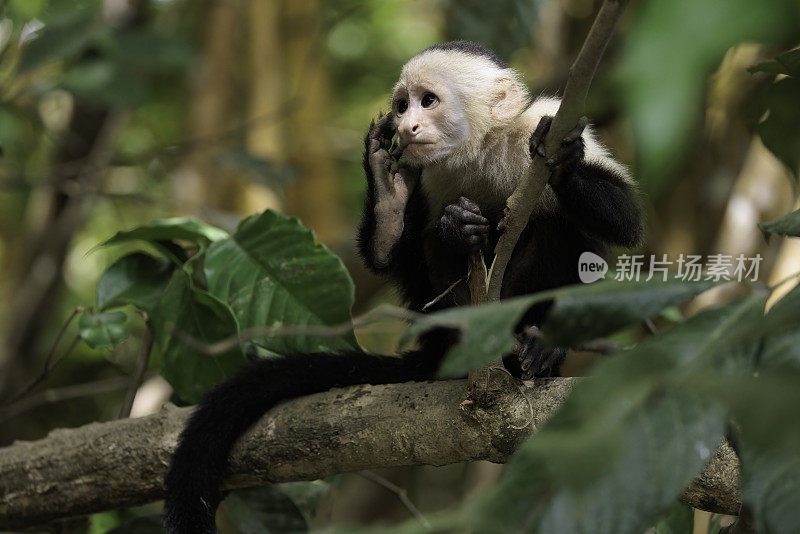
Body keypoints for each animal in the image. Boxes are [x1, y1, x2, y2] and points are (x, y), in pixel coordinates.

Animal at [164, 39, 644, 532]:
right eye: (401, 106)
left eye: (428, 101)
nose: (408, 126)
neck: (480, 151)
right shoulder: (426, 174)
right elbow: (397, 254)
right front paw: (395, 193)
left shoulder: (539, 120)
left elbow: (624, 222)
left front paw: (563, 160)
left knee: (557, 227)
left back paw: (544, 343)